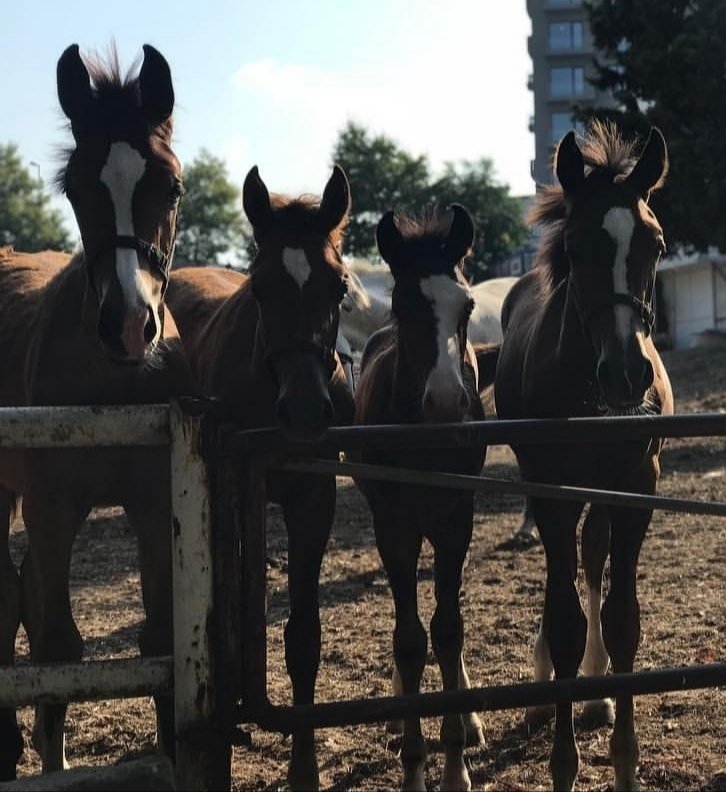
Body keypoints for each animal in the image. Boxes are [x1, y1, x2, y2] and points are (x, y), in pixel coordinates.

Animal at [0, 44, 193, 780]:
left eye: (171, 187)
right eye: (76, 189)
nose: (130, 326)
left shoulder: (155, 504)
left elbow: (159, 639)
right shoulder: (52, 508)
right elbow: (58, 649)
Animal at [166, 164, 358, 788]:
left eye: (339, 287)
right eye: (259, 288)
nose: (304, 410)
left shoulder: (312, 499)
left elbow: (303, 637)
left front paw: (304, 768)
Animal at [498, 120, 672, 788]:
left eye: (655, 244)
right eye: (575, 250)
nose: (626, 374)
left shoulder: (636, 488)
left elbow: (622, 620)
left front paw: (624, 760)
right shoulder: (552, 492)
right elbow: (565, 619)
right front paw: (564, 764)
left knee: (592, 561)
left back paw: (596, 695)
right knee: (561, 579)